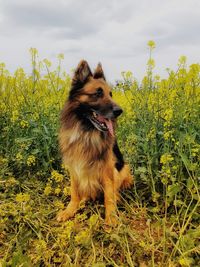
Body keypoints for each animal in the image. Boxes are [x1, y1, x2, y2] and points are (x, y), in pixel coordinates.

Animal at [56, 60, 133, 226]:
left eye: (110, 94)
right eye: (98, 93)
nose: (119, 111)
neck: (87, 132)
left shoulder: (108, 169)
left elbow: (108, 196)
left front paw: (111, 218)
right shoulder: (74, 166)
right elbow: (74, 191)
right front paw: (70, 209)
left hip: (122, 168)